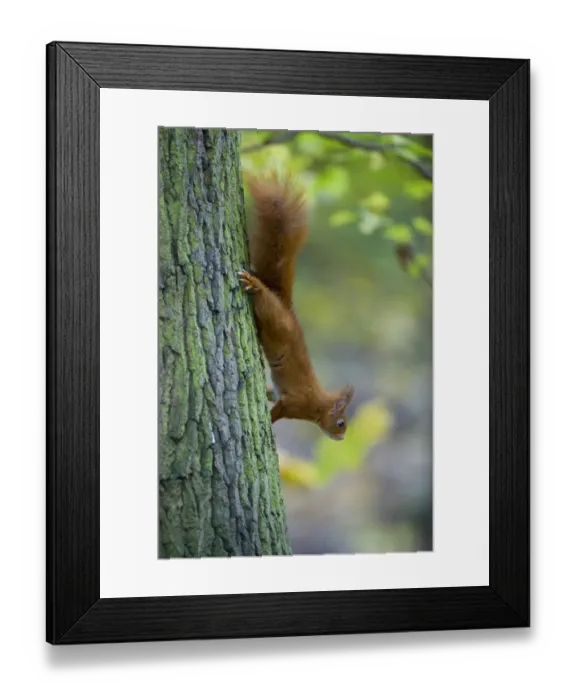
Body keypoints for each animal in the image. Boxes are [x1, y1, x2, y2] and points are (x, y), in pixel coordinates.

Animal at [238, 172, 354, 441]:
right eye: (341, 423)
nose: (342, 438)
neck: (317, 404)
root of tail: (287, 309)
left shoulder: (283, 395)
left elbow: (272, 393)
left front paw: (266, 389)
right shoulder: (294, 403)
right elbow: (277, 413)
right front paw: (269, 424)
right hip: (273, 319)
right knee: (264, 300)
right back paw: (255, 285)